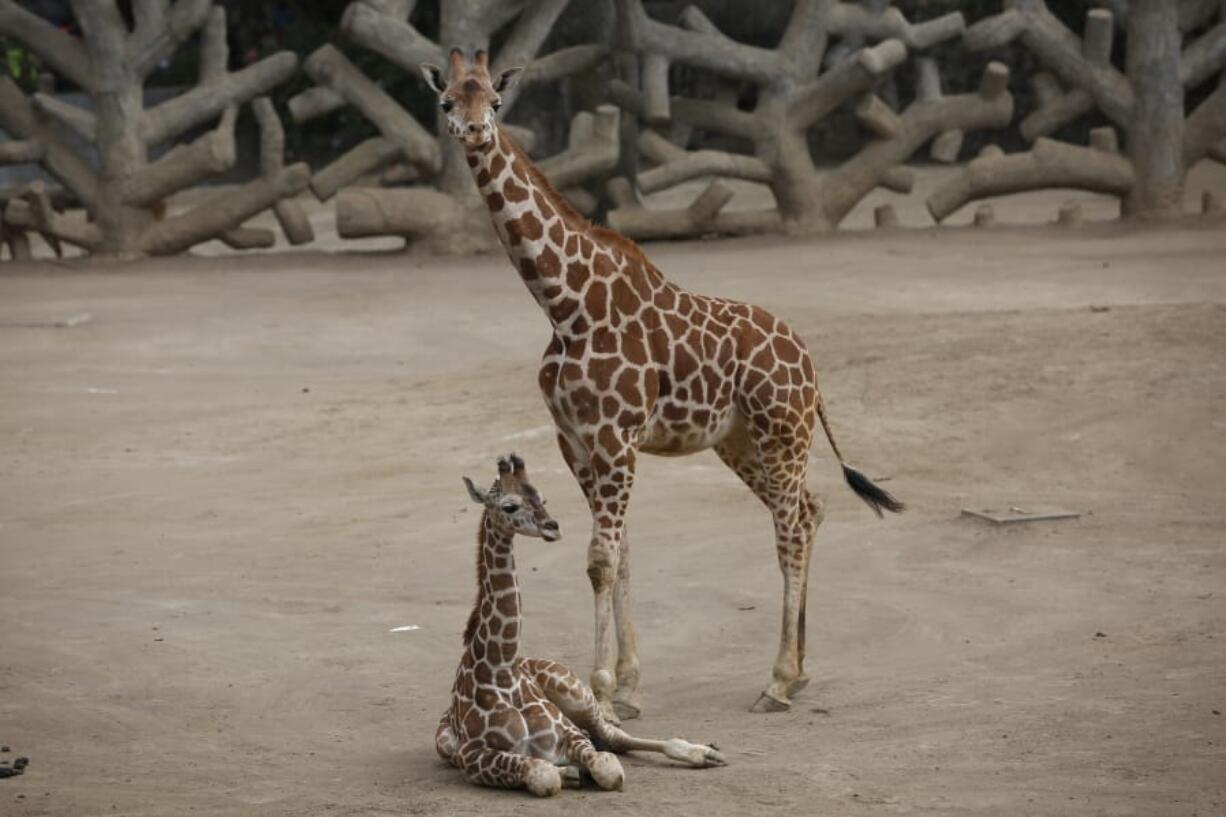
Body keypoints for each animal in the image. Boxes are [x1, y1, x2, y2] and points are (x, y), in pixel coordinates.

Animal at [421, 49, 902, 711]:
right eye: (447, 100)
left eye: (494, 99)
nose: (472, 130)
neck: (565, 303)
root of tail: (810, 365)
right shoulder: (577, 442)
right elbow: (620, 553)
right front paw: (627, 683)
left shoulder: (616, 437)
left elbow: (600, 556)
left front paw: (600, 687)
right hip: (740, 442)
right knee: (810, 508)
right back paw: (800, 670)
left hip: (783, 432)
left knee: (791, 526)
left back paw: (777, 680)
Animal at [436, 451, 720, 790]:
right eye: (510, 506)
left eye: (542, 497)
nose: (552, 527)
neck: (500, 669)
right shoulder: (471, 755)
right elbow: (544, 775)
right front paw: (568, 773)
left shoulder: (567, 733)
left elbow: (608, 769)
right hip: (444, 742)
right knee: (608, 741)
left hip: (577, 693)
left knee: (615, 736)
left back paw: (705, 753)